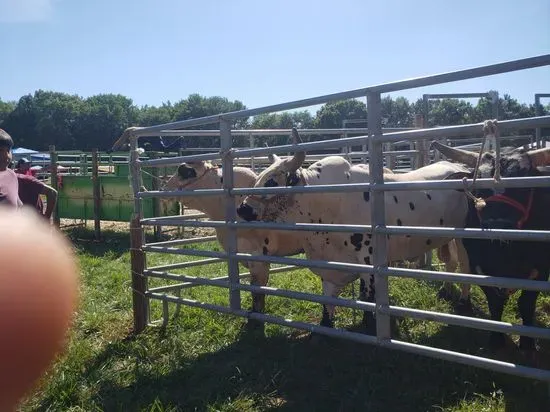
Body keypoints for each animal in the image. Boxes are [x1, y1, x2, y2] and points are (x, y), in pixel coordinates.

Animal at [436, 141, 550, 354]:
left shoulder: (542, 270)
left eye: (524, 182)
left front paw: (528, 343)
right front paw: (496, 339)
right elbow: (495, 303)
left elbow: (526, 303)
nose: (498, 224)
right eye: (479, 185)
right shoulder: (479, 267)